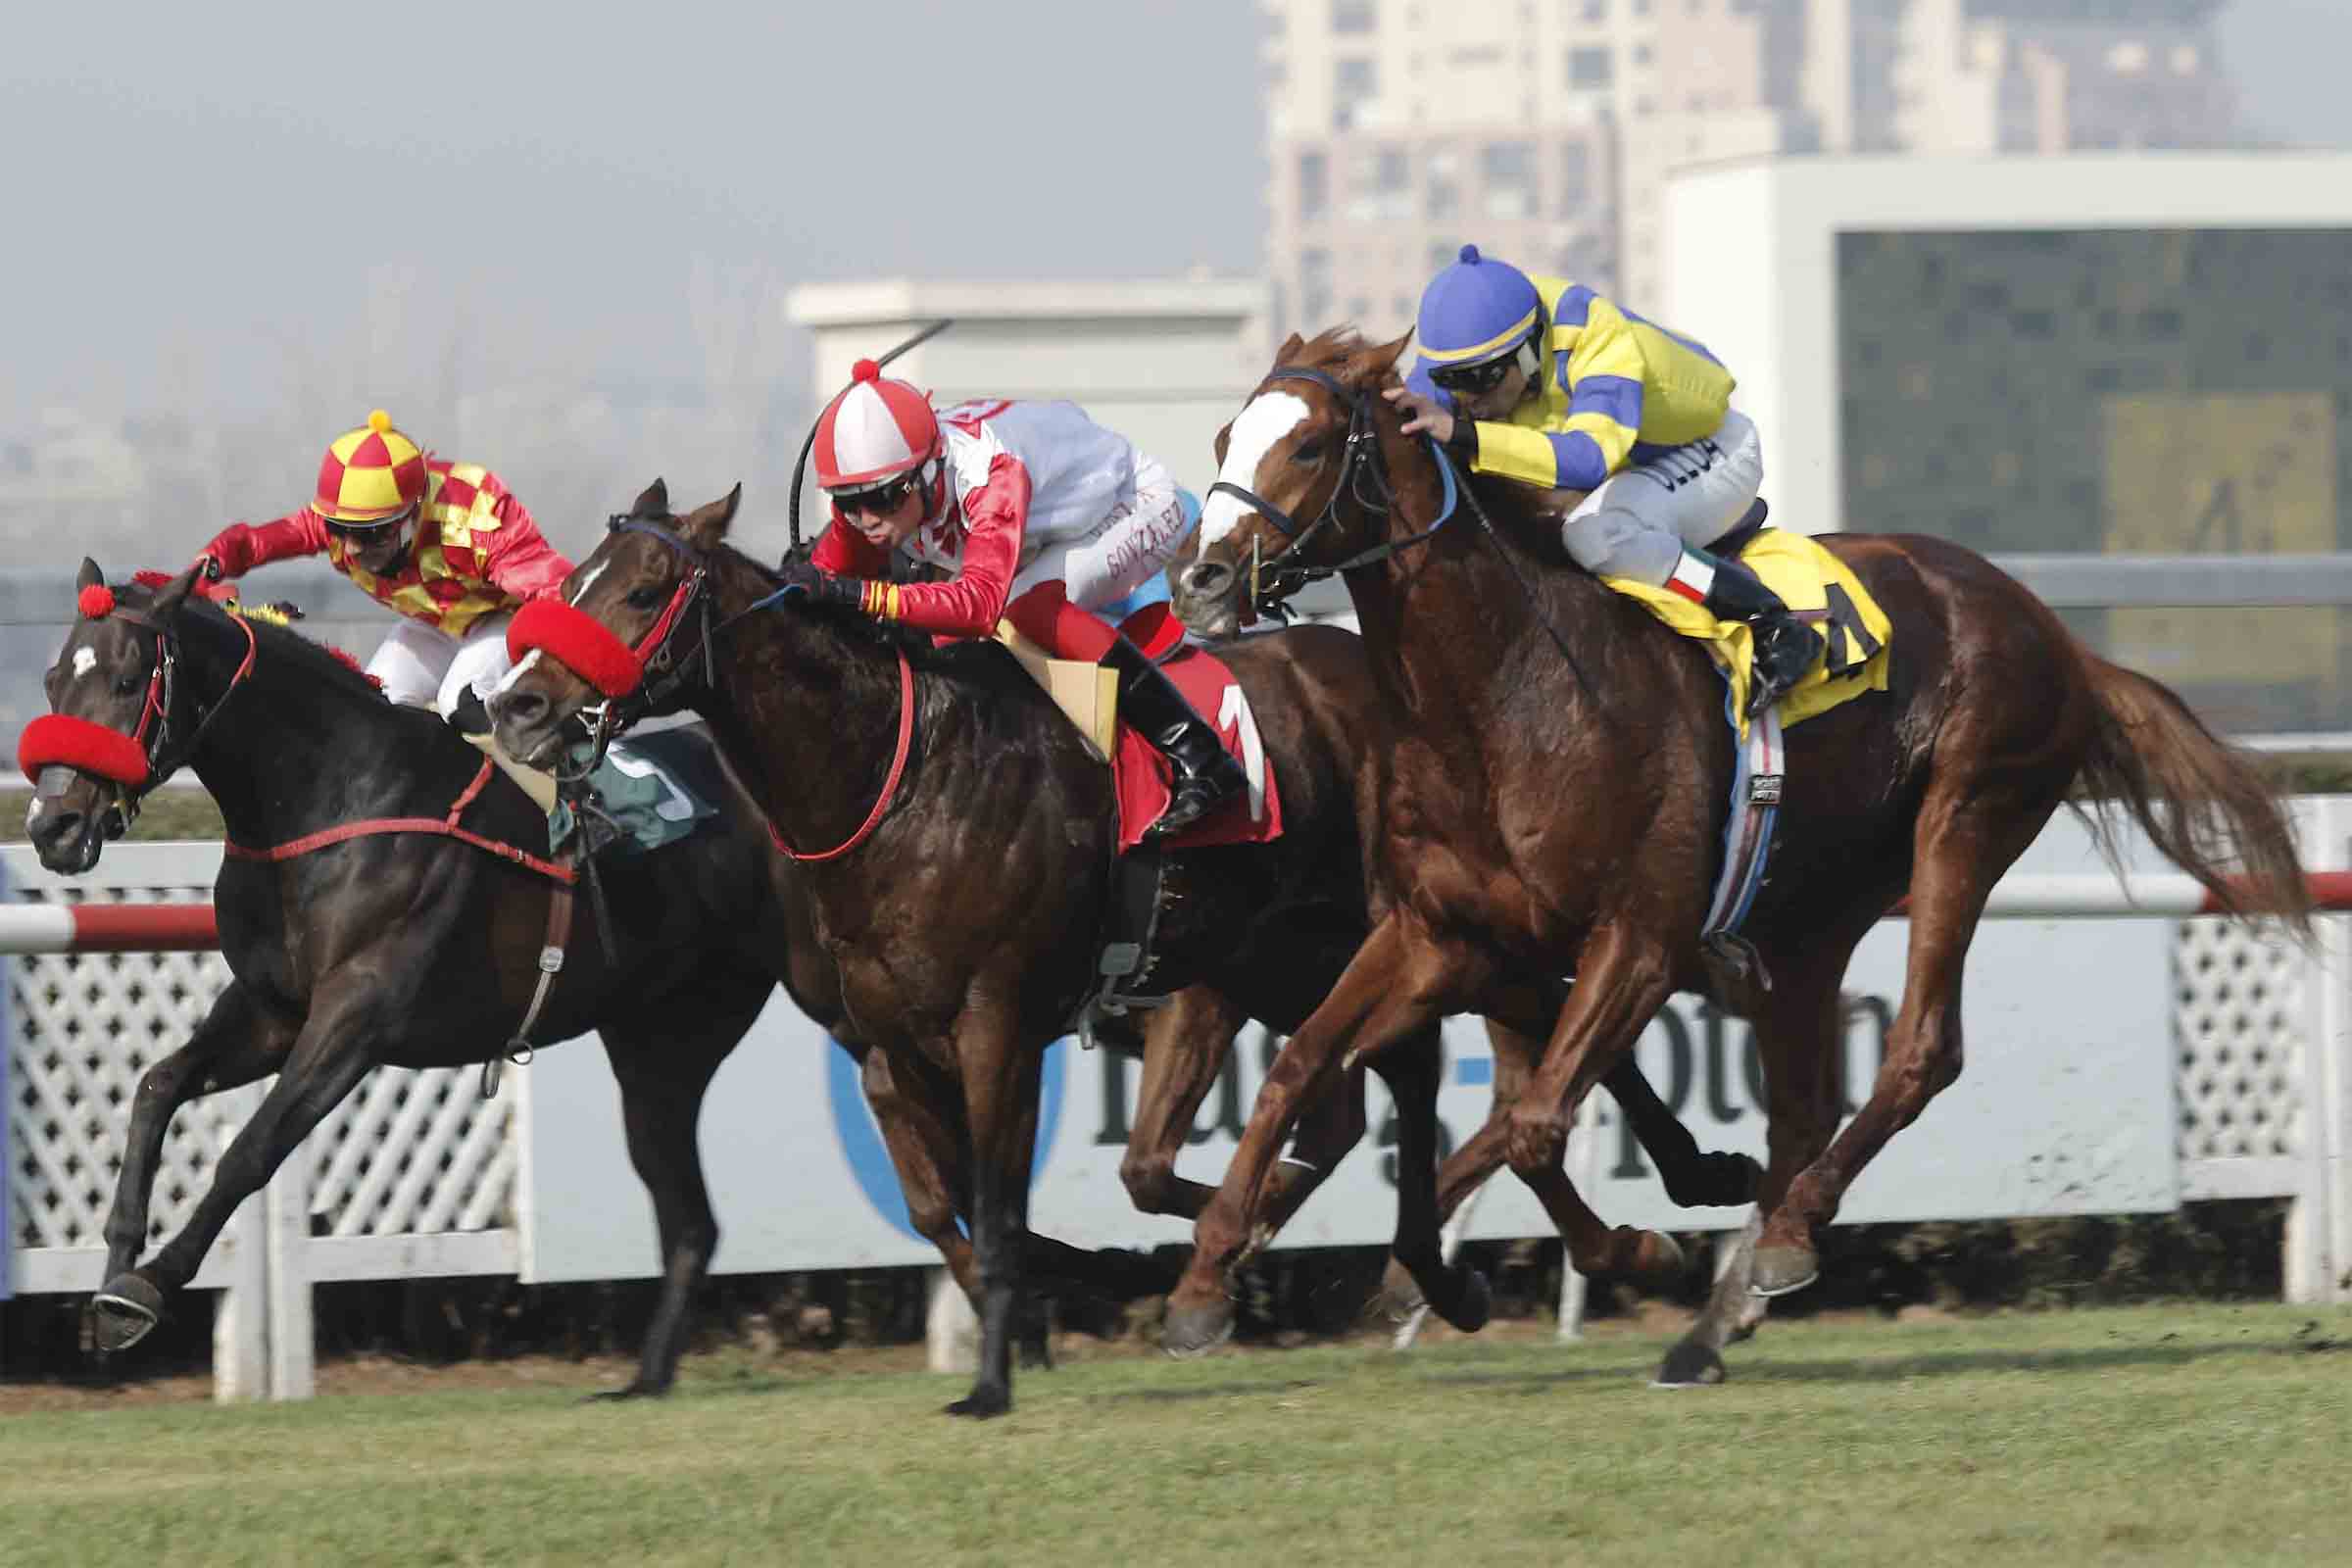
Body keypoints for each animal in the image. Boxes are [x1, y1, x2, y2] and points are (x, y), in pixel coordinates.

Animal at [487, 480, 1760, 1414]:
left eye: (645, 586)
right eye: (576, 578)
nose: (520, 707)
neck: (902, 775)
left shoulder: (996, 1024)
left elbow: (996, 1204)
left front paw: (998, 1375)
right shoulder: (886, 1044)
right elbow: (940, 1209)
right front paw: (1091, 1283)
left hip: (1402, 933)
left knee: (1517, 1045)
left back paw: (1651, 1210)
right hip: (1293, 958)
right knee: (1400, 1082)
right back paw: (1446, 1257)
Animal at [1159, 327, 2311, 1377]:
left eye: (1309, 445)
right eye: (1223, 436)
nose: (1200, 581)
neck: (1506, 693)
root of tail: (2052, 630)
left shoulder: (1640, 937)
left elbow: (1534, 1123)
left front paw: (1632, 1246)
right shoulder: (1441, 932)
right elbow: (1302, 1066)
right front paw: (1210, 1274)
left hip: (1967, 818)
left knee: (1919, 1049)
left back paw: (1786, 1237)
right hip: (1812, 918)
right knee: (1804, 1107)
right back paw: (1720, 1317)